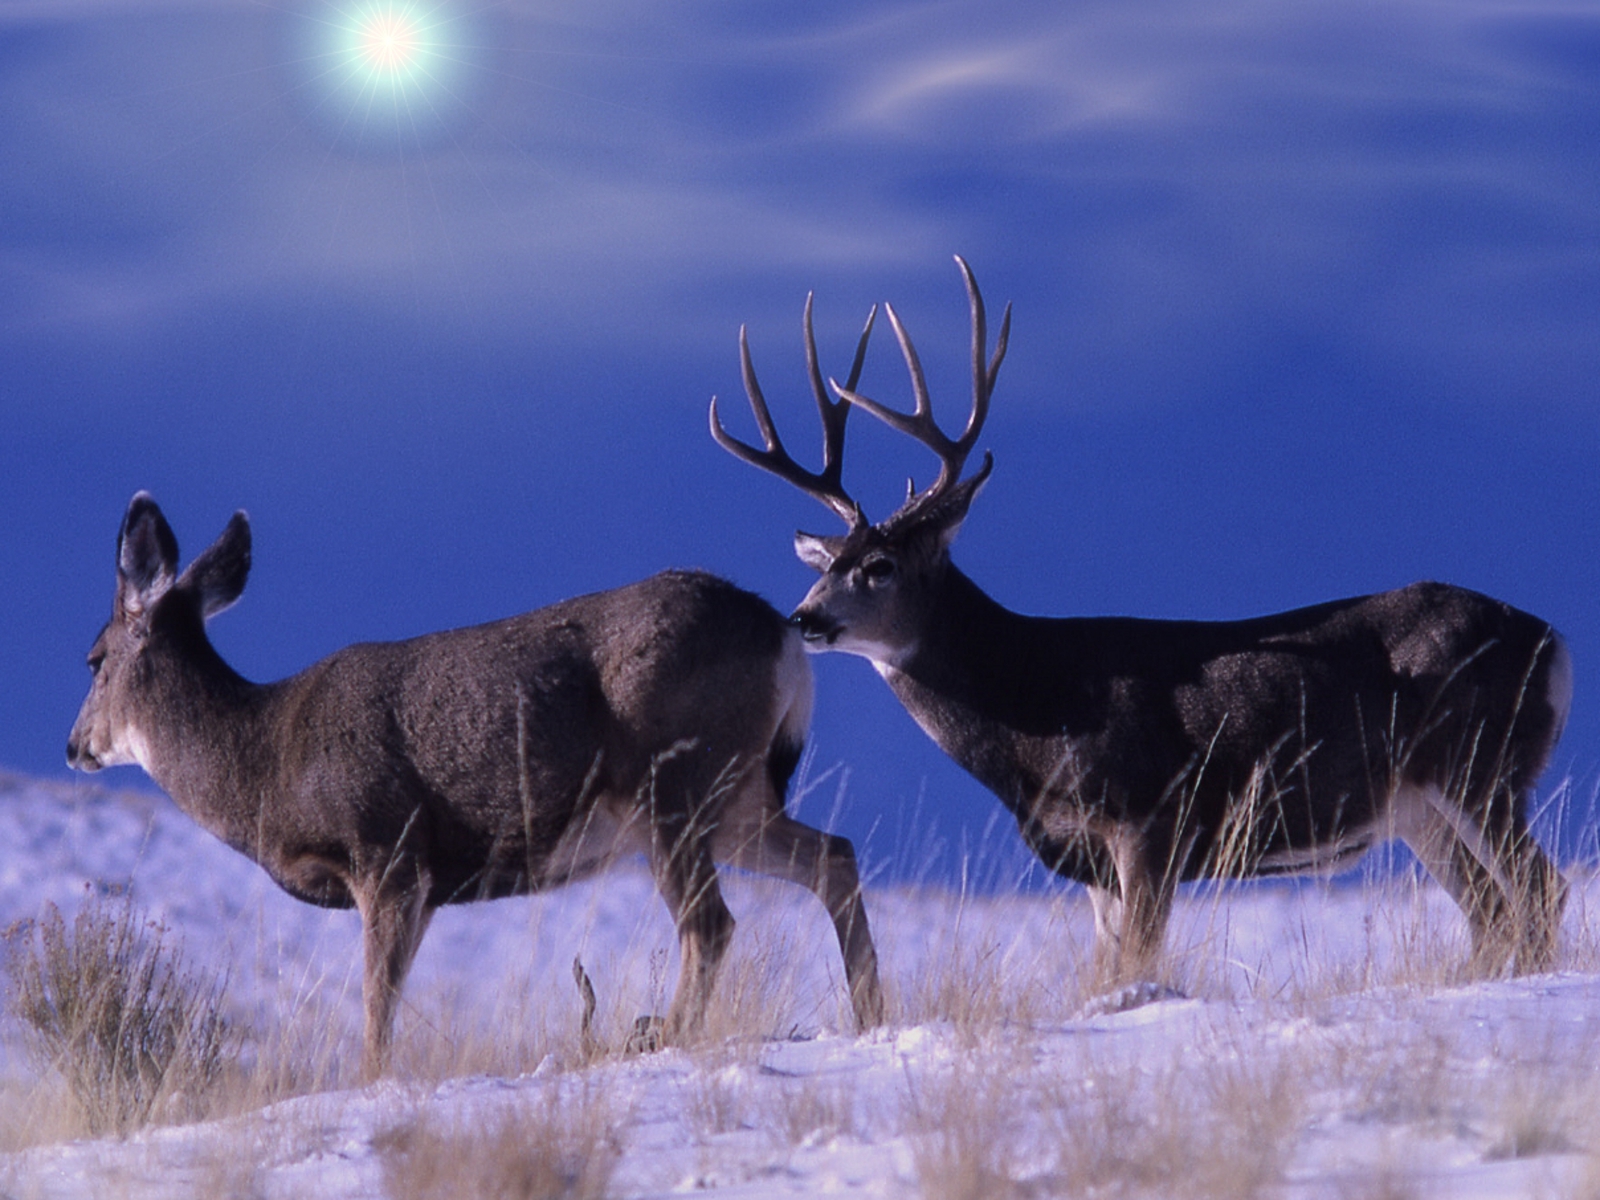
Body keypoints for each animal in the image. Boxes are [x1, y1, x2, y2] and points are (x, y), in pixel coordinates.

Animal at [67, 493, 884, 1077]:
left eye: (94, 658)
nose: (74, 746)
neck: (267, 762)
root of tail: (783, 634)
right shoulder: (425, 882)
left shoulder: (388, 848)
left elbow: (378, 1003)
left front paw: (371, 1083)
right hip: (738, 797)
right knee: (833, 855)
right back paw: (871, 1013)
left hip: (673, 784)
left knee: (710, 921)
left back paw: (663, 1036)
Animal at [711, 257, 1571, 996]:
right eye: (824, 563)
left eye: (881, 566)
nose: (803, 617)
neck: (1035, 704)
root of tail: (1553, 639)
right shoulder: (1093, 862)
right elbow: (1106, 965)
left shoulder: (1150, 819)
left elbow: (1139, 960)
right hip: (1421, 805)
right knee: (1493, 912)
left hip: (1480, 766)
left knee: (1540, 890)